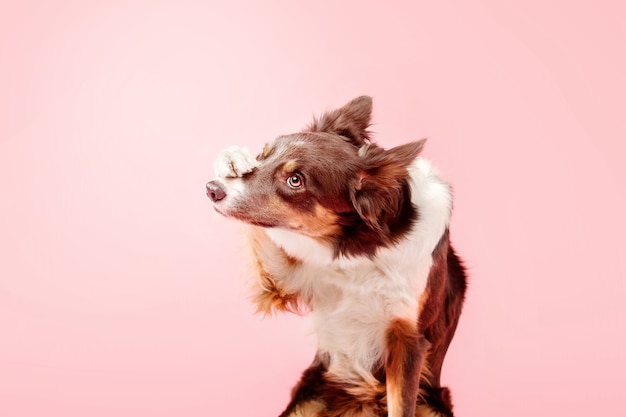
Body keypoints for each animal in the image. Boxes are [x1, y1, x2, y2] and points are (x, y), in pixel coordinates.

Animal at [205, 96, 464, 414]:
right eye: (261, 156)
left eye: (295, 180)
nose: (212, 189)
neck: (365, 250)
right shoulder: (289, 277)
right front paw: (232, 158)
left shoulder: (408, 338)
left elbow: (401, 405)